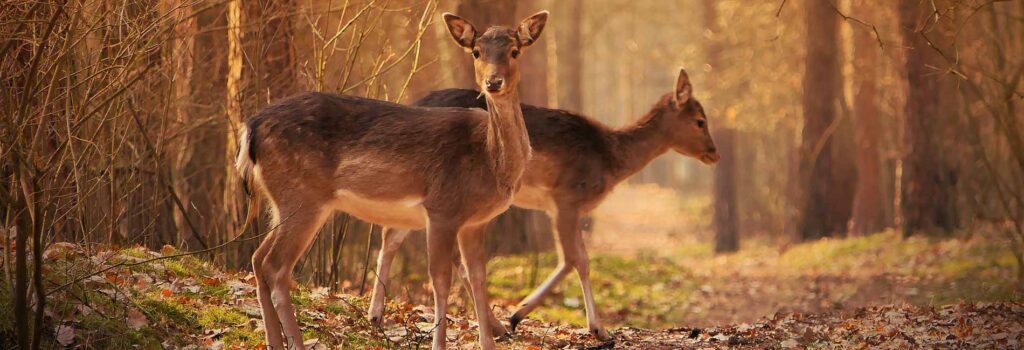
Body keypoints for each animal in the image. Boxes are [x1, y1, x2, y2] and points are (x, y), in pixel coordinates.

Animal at [235, 10, 548, 350]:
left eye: (514, 51)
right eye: (477, 52)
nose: (493, 82)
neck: (490, 160)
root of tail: (251, 126)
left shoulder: (475, 222)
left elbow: (478, 278)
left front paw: (488, 342)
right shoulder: (442, 208)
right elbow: (441, 280)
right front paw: (439, 343)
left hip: (281, 201)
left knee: (257, 258)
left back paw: (274, 340)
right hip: (302, 195)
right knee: (276, 266)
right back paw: (295, 341)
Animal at [370, 68, 720, 341]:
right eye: (700, 120)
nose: (714, 153)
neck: (610, 158)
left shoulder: (562, 206)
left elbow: (576, 258)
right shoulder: (567, 197)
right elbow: (576, 259)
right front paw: (593, 329)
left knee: (393, 234)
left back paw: (377, 316)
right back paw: (495, 325)